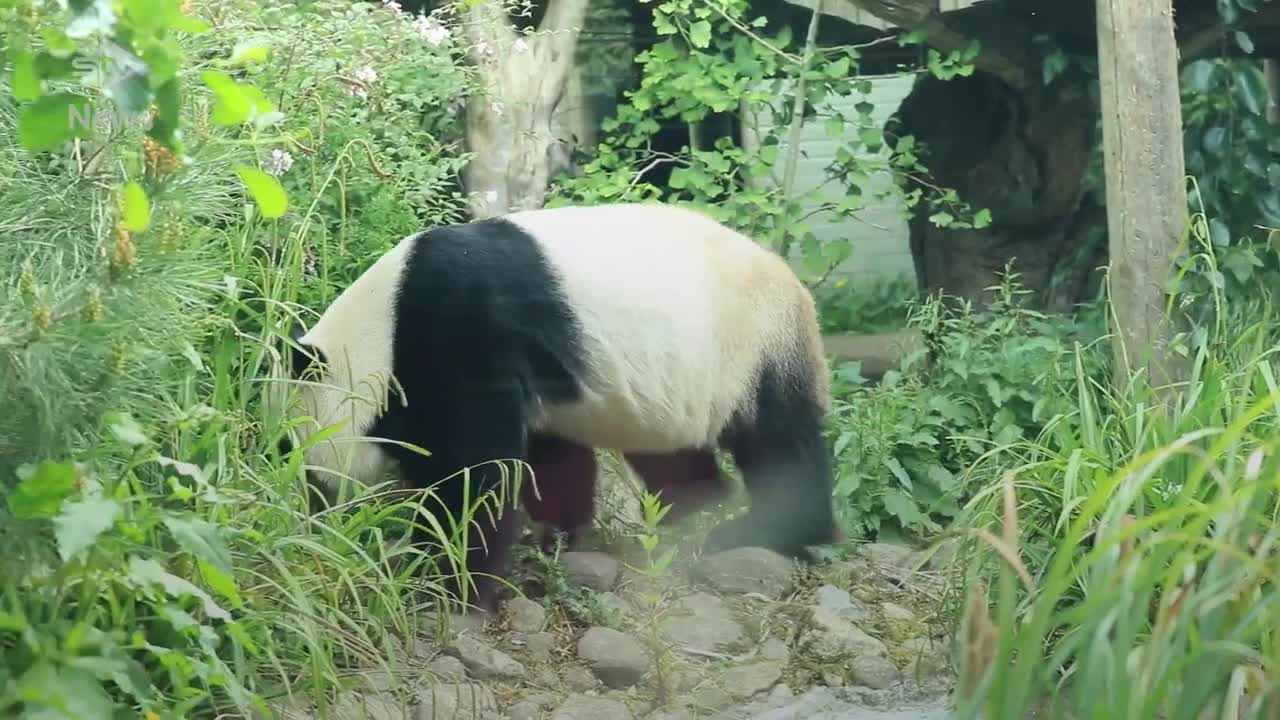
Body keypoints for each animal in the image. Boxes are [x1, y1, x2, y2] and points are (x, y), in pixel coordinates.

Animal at [277, 202, 839, 609]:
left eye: (289, 450)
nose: (306, 515)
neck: (381, 327)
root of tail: (795, 284)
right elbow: (549, 455)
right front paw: (557, 535)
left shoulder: (458, 333)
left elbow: (475, 473)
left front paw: (443, 578)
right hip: (673, 383)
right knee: (671, 452)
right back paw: (691, 508)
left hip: (752, 345)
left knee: (778, 444)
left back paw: (762, 529)